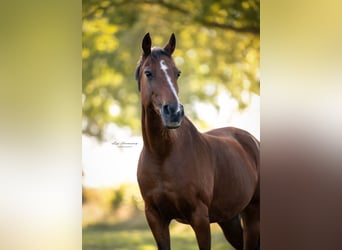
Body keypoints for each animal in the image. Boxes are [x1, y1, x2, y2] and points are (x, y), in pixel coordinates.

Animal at [136, 33, 260, 250]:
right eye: (148, 73)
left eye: (177, 73)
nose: (174, 112)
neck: (163, 155)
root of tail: (251, 140)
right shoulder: (155, 218)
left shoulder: (199, 218)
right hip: (229, 219)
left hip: (253, 214)